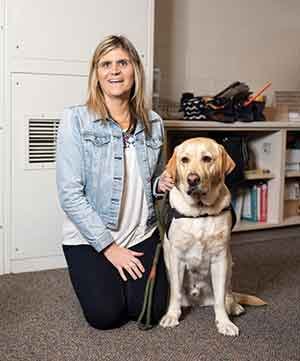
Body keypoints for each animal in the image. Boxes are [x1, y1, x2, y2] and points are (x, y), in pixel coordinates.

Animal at [159, 137, 264, 334]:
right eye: (184, 160)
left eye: (207, 159)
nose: (192, 179)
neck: (200, 212)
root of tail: (199, 299)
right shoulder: (176, 257)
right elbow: (175, 293)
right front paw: (172, 315)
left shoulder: (220, 258)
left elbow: (220, 298)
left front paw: (224, 322)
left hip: (230, 263)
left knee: (227, 293)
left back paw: (233, 306)